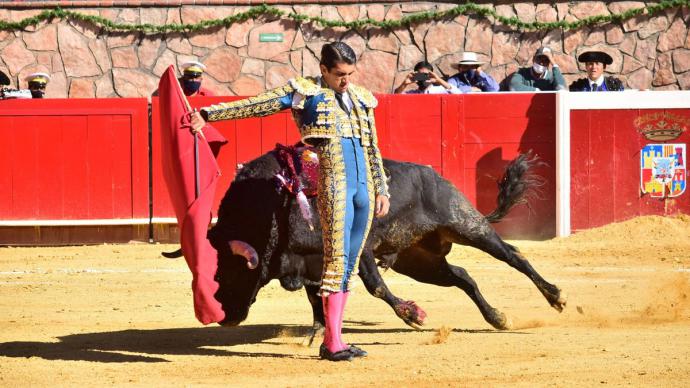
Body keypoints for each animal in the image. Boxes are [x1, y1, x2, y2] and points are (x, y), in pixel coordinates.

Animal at [208, 150, 564, 334]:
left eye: (227, 273)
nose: (225, 317)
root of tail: (438, 177)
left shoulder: (360, 250)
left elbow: (375, 286)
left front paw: (413, 315)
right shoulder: (312, 261)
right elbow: (316, 296)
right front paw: (320, 332)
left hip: (466, 225)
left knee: (513, 256)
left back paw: (555, 296)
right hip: (419, 261)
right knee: (463, 277)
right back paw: (497, 318)